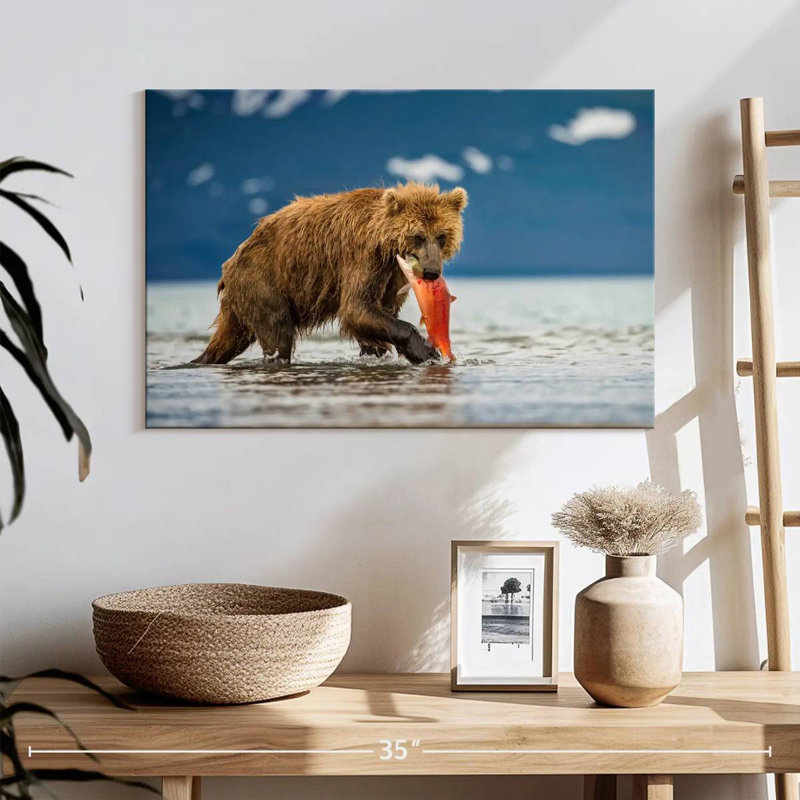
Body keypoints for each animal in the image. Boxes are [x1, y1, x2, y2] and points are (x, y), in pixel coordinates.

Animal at [192, 181, 468, 366]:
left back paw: (202, 359)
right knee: (277, 331)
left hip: (244, 300)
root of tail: (230, 263)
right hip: (264, 280)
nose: (431, 272)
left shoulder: (392, 276)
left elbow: (379, 313)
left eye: (441, 236)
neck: (385, 244)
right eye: (418, 236)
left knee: (229, 339)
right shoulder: (362, 257)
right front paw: (425, 351)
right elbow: (357, 307)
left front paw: (376, 352)